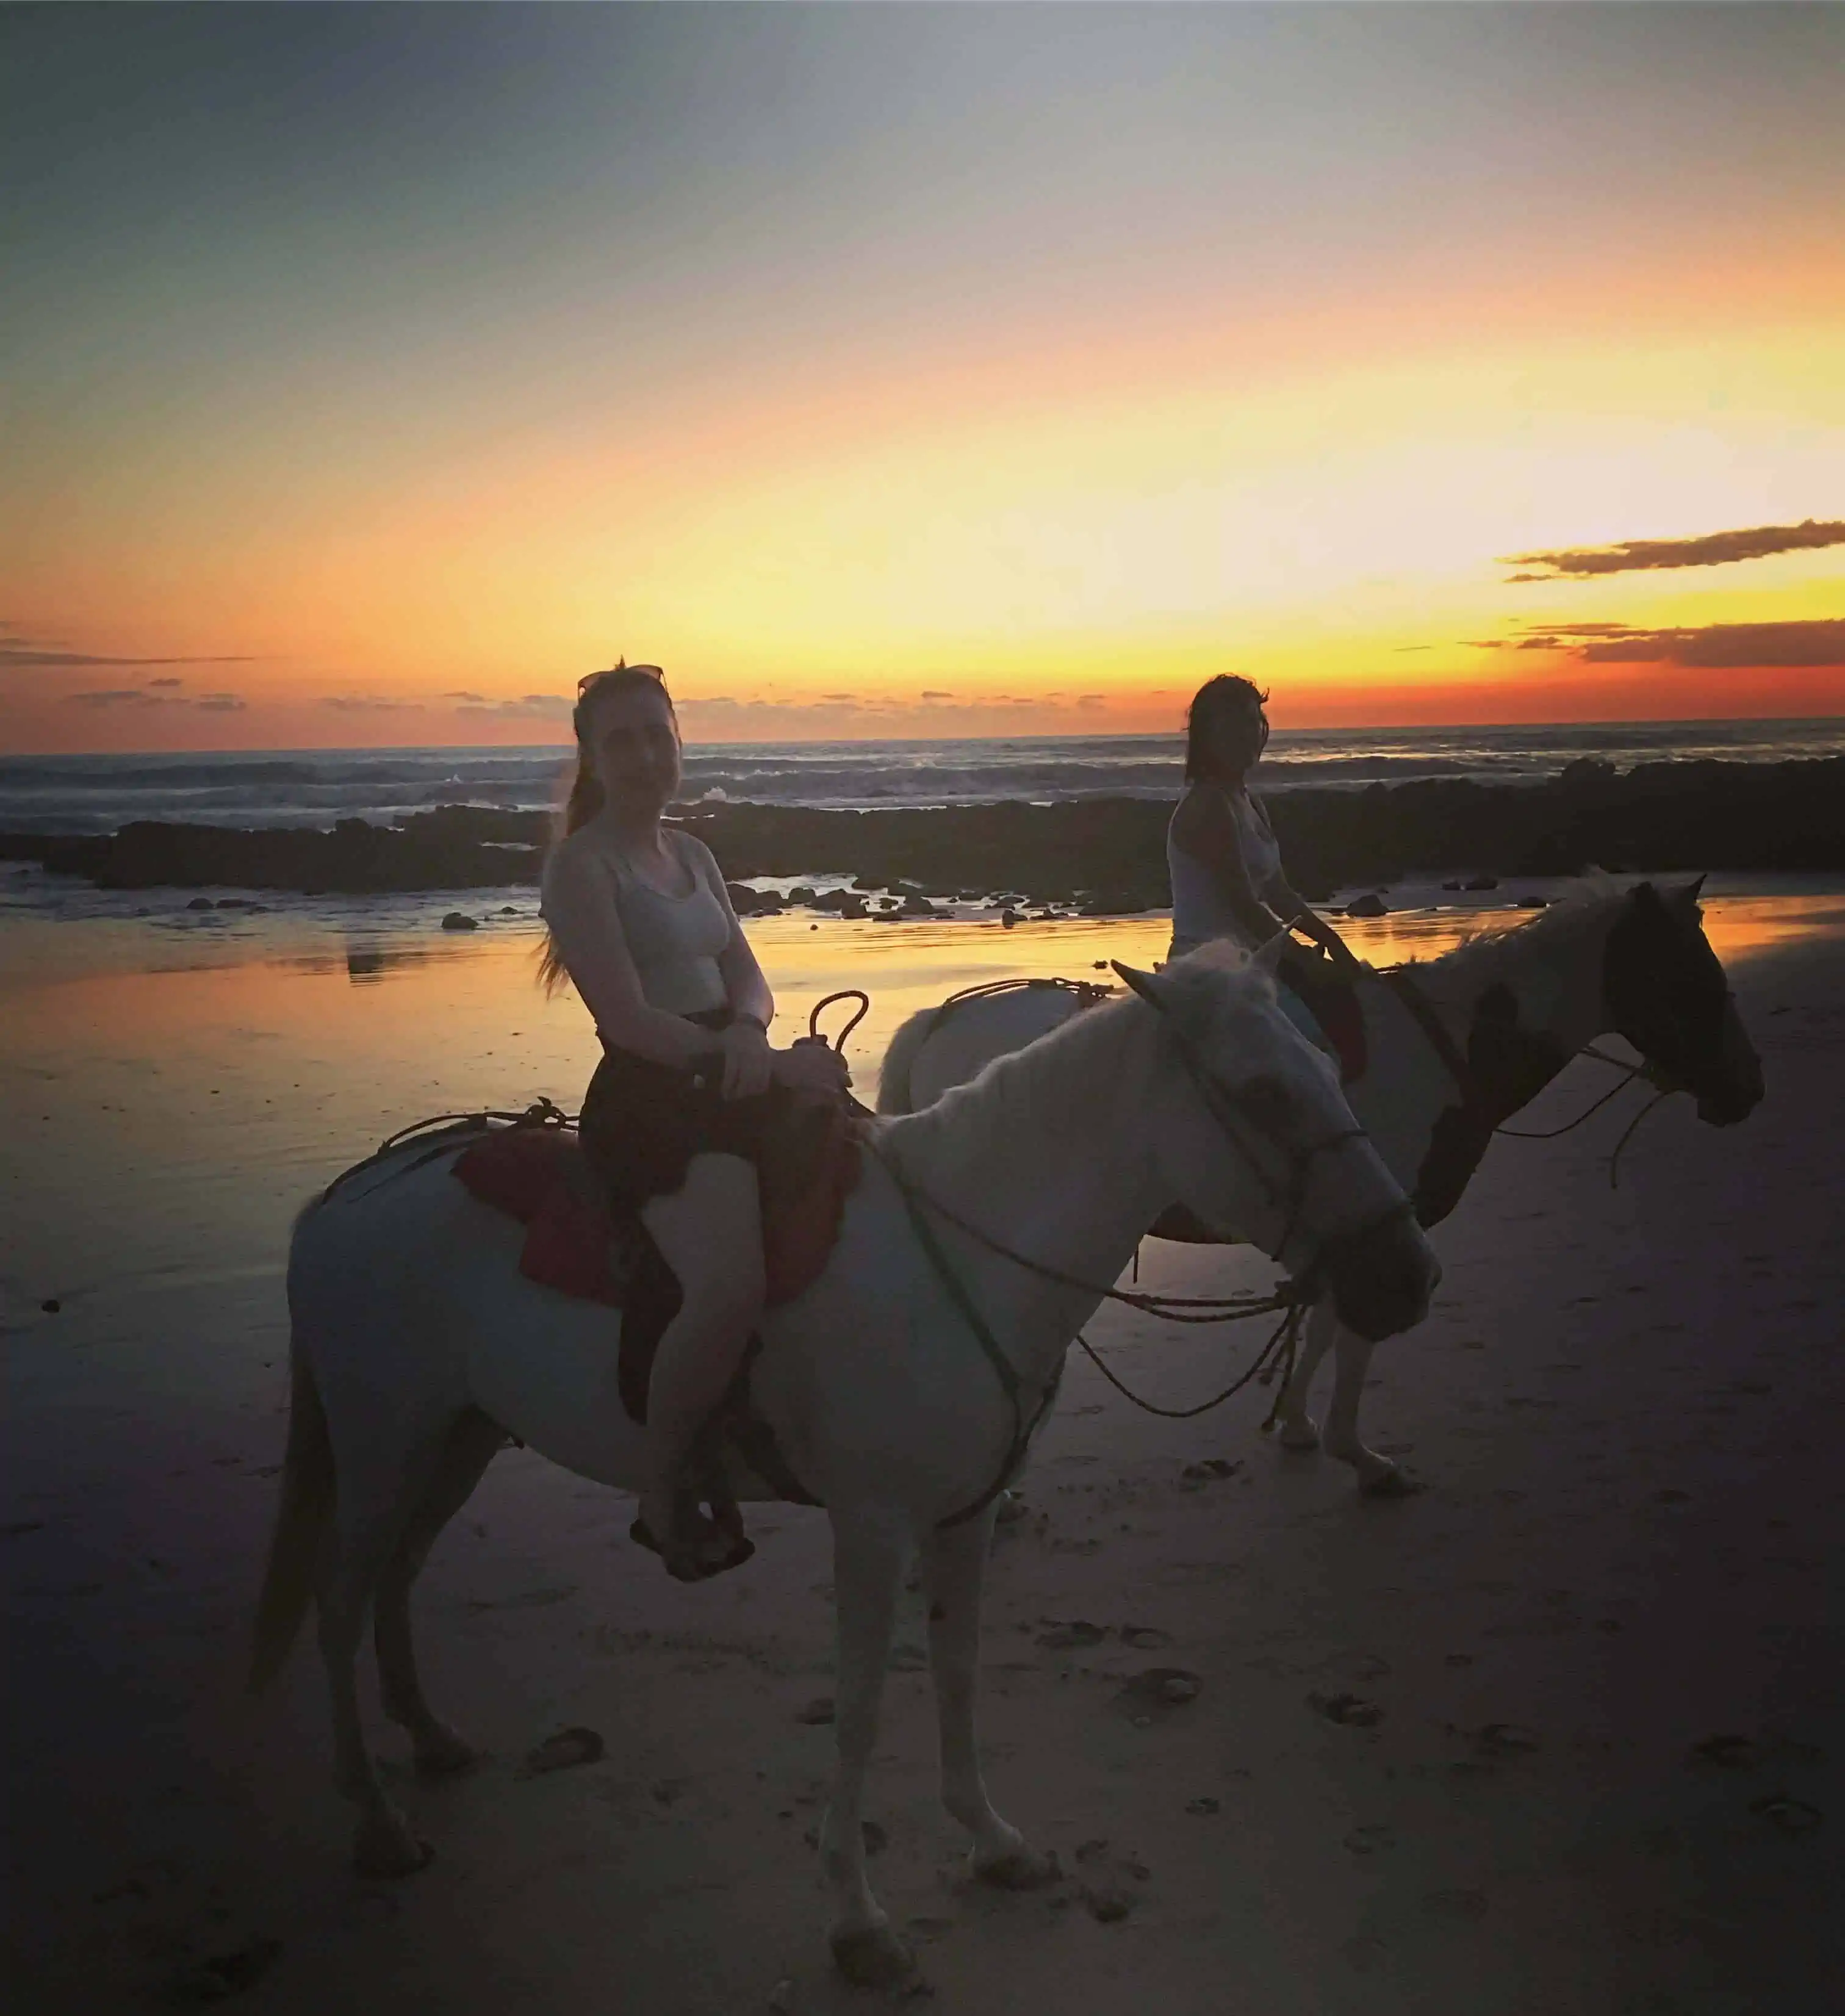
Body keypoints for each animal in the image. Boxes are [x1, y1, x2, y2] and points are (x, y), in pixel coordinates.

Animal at [249, 943, 1444, 1984]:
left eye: (1330, 1066)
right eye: (1262, 1090)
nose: (1407, 1272)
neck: (958, 1252)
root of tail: (343, 1199)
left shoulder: (966, 1510)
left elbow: (956, 1671)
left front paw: (990, 1839)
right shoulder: (870, 1523)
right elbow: (865, 1703)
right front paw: (857, 1916)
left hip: (454, 1437)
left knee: (396, 1579)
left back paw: (429, 1738)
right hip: (383, 1439)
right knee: (342, 1598)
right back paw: (377, 1817)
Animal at [887, 883, 1766, 1500]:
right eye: (1686, 978)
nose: (1746, 1092)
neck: (1445, 1044)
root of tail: (937, 1019)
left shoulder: (1349, 1235)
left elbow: (1319, 1325)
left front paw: (1299, 1425)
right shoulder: (1376, 1228)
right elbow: (1352, 1337)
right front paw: (1360, 1456)